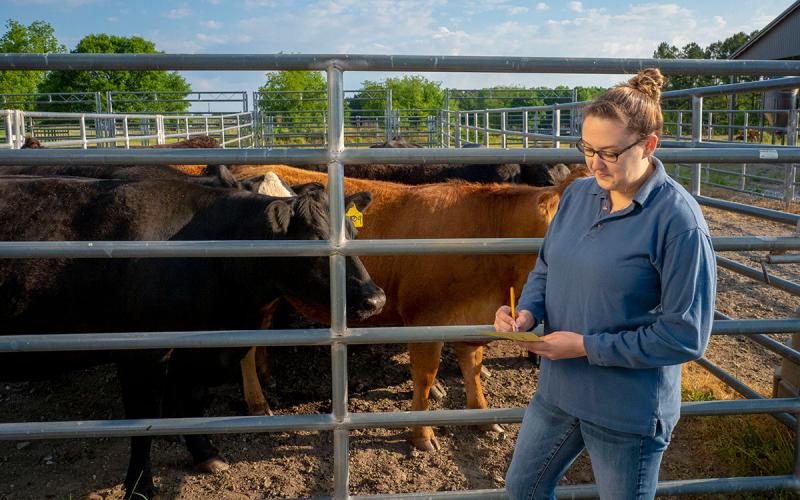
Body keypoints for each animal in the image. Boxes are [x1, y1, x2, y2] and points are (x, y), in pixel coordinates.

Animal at [0, 176, 384, 498]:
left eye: (353, 231)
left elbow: (193, 399)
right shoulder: (139, 353)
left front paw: (205, 454)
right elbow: (143, 419)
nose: (375, 298)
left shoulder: (194, 347)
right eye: (314, 240)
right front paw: (141, 486)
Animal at [232, 164, 590, 452]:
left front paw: (484, 417)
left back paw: (267, 376)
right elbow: (425, 378)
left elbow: (473, 367)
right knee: (244, 344)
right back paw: (257, 401)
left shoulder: (472, 320)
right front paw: (422, 435)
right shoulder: (425, 322)